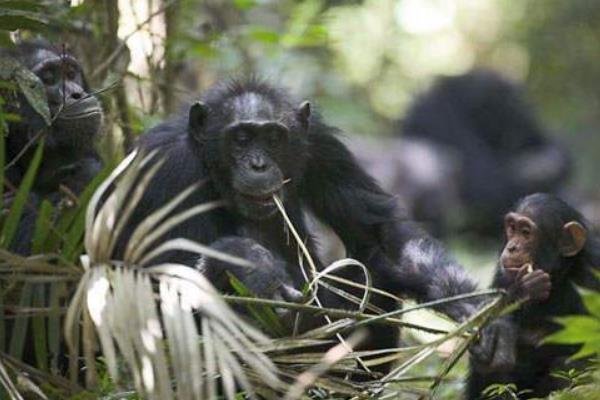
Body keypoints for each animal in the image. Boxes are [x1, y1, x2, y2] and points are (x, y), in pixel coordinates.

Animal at [468, 193, 600, 396]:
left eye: (526, 232)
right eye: (512, 228)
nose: (512, 247)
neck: (559, 276)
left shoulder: (593, 272)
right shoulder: (501, 275)